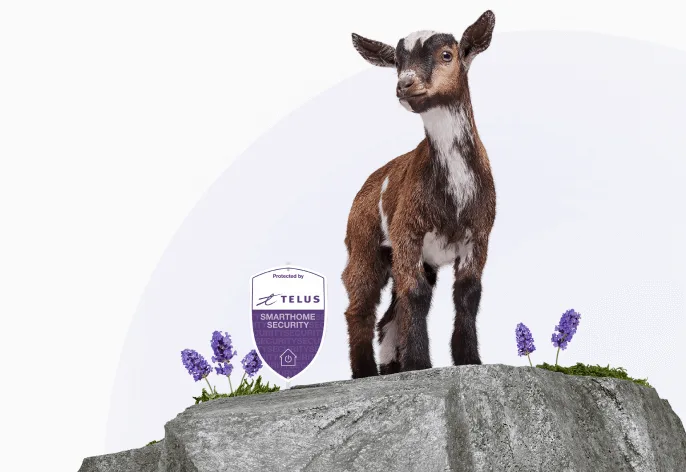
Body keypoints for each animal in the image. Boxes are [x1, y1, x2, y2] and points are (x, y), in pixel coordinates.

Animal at [342, 10, 497, 378]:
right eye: (397, 63)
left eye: (447, 55)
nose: (405, 84)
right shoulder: (406, 232)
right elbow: (416, 295)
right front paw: (418, 364)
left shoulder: (479, 234)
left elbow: (468, 293)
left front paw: (469, 358)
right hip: (364, 243)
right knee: (361, 305)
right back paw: (365, 371)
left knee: (389, 312)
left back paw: (389, 367)